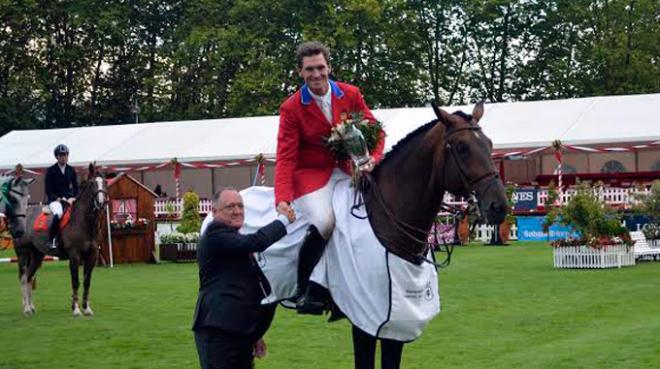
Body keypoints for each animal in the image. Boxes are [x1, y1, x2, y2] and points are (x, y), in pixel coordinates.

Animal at [10, 164, 107, 316]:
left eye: (105, 182)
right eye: (92, 184)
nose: (101, 203)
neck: (84, 222)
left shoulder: (92, 256)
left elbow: (87, 282)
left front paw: (86, 308)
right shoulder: (74, 256)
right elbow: (75, 281)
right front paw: (76, 309)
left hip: (37, 255)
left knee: (30, 277)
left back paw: (31, 307)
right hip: (23, 254)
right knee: (24, 277)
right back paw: (26, 308)